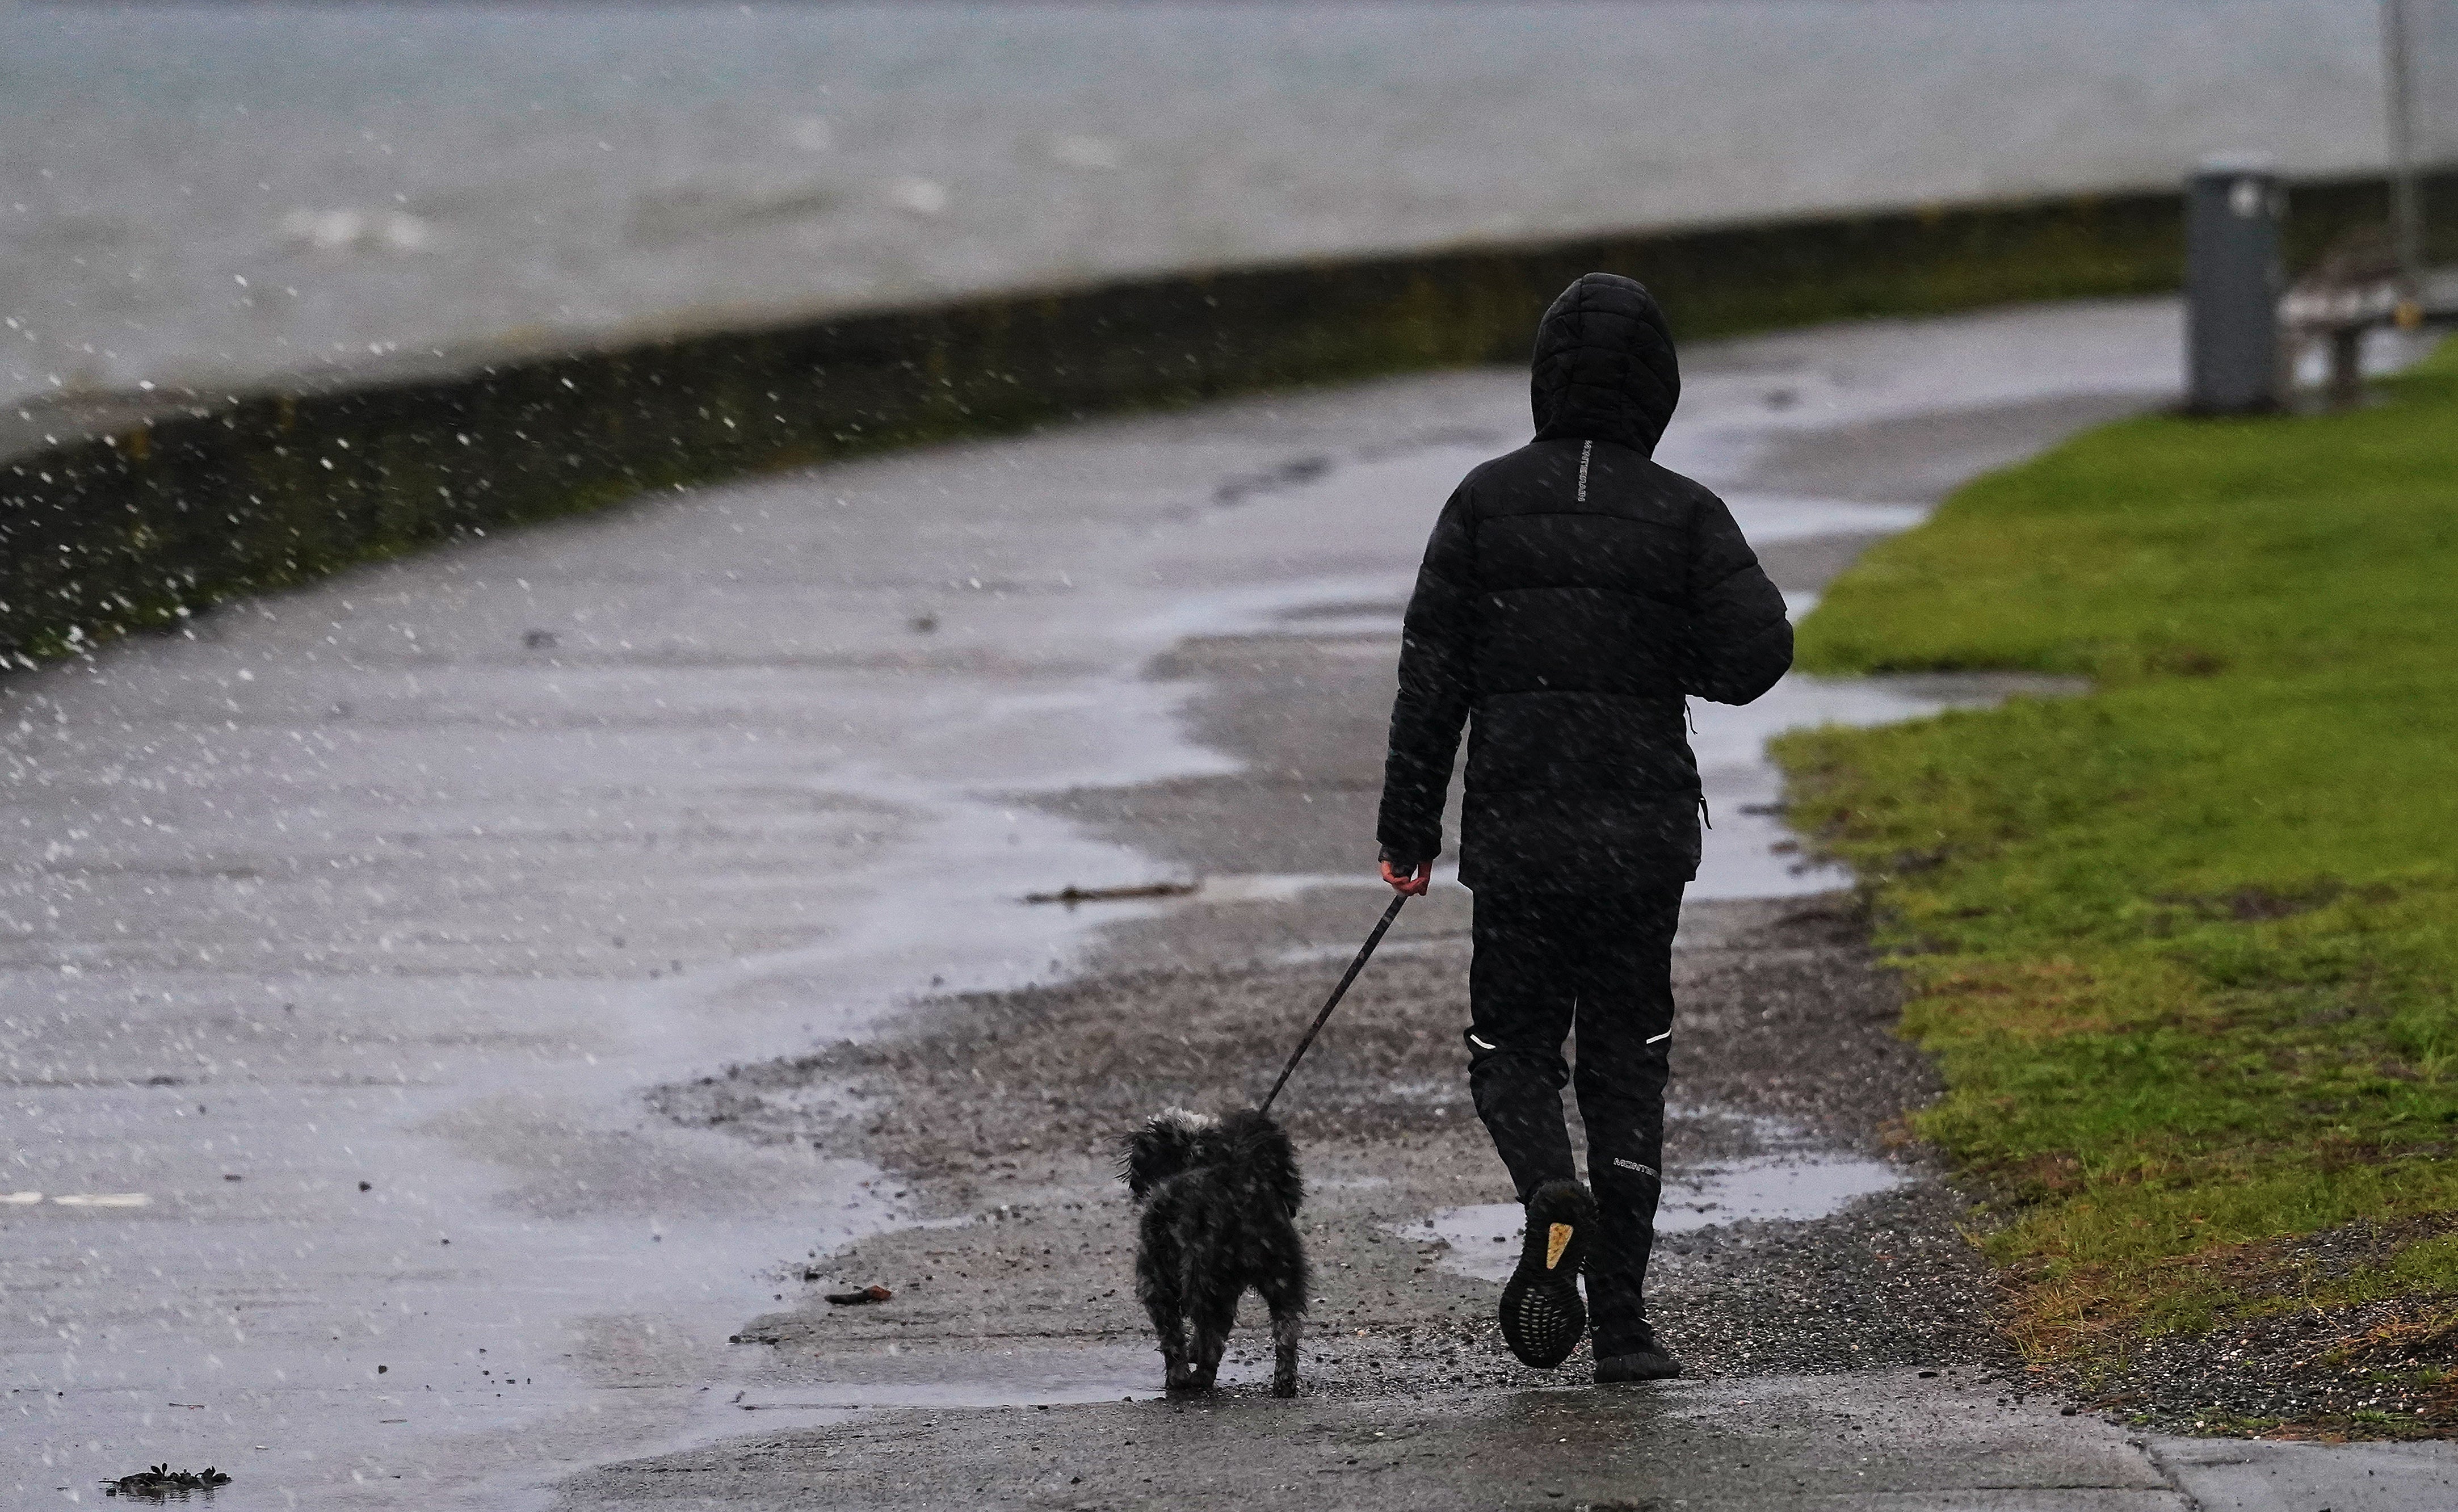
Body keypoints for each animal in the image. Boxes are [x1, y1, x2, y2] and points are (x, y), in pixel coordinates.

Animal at [1120, 1106, 1308, 1406]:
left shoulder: (1155, 1283)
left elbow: (1172, 1338)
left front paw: (1178, 1377)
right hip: (1280, 1275)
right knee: (1286, 1331)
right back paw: (1284, 1384)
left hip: (1203, 1279)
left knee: (1211, 1338)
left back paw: (1196, 1379)